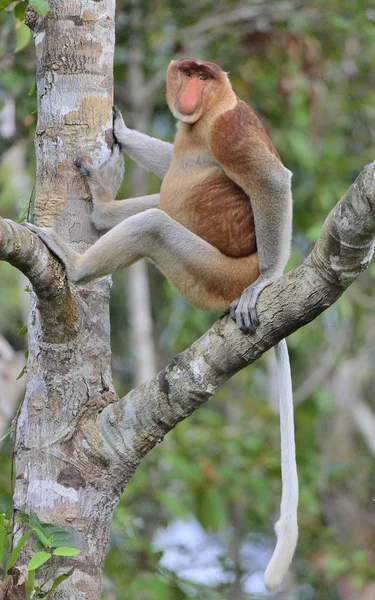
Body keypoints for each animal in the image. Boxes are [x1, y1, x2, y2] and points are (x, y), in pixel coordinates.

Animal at [25, 59, 298, 592]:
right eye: (186, 72)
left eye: (204, 77)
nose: (189, 89)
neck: (206, 116)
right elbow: (174, 155)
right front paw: (124, 131)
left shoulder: (231, 129)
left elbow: (274, 181)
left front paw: (269, 282)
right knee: (158, 202)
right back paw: (103, 210)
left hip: (213, 273)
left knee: (154, 223)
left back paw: (77, 260)